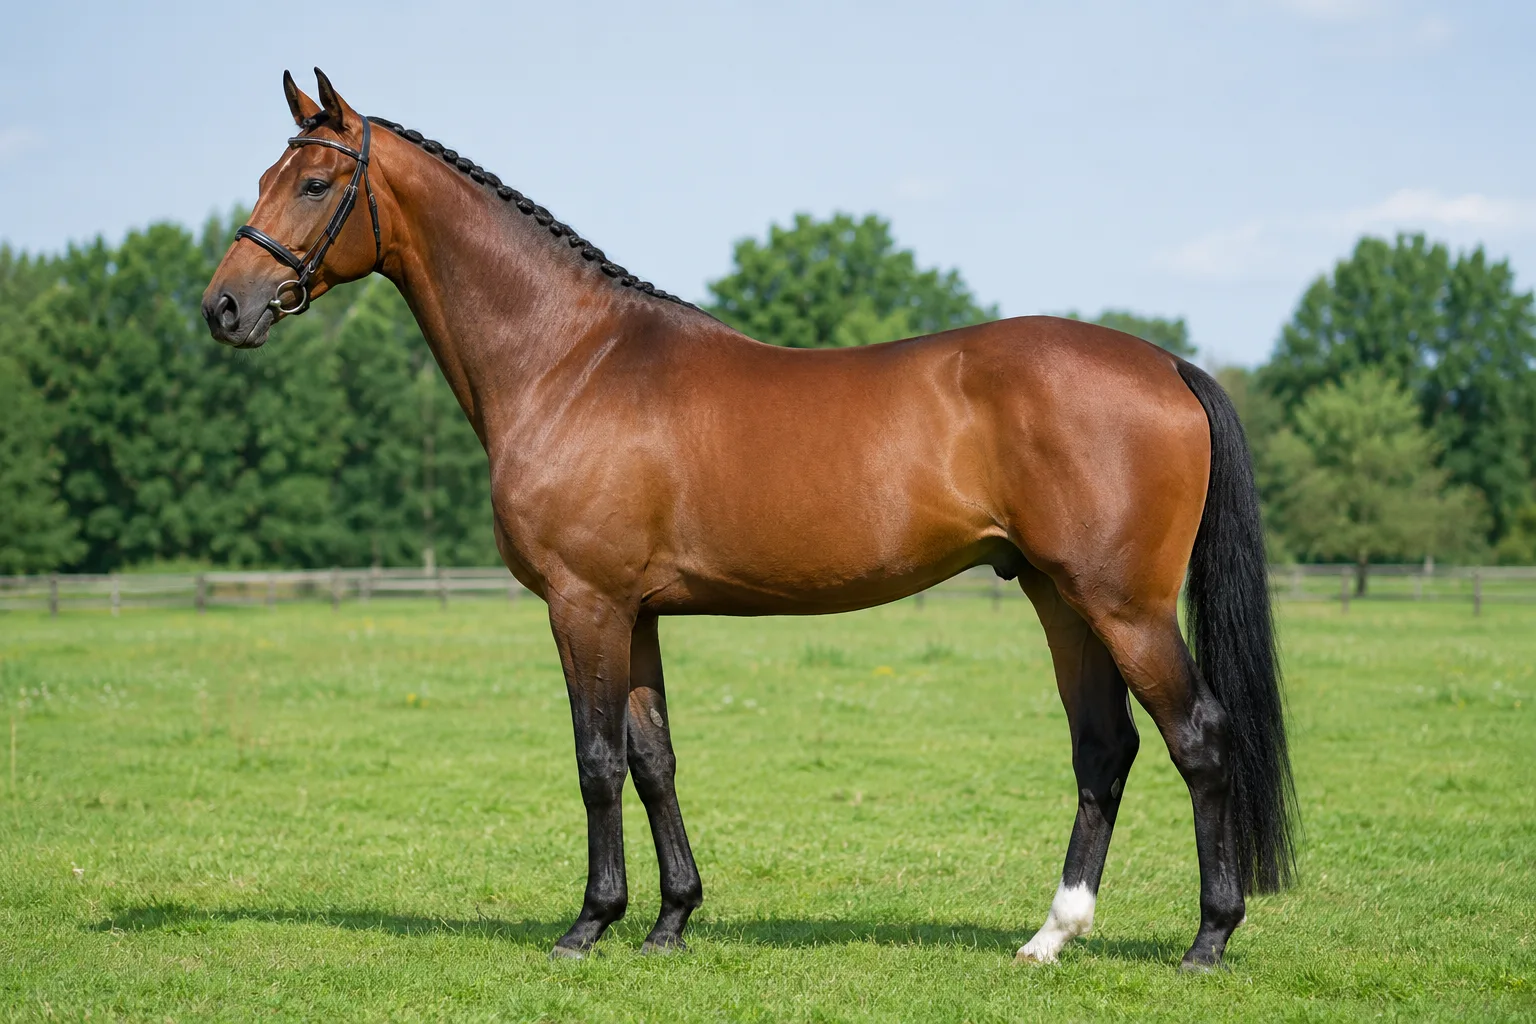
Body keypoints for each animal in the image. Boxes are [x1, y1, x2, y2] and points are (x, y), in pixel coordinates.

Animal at [203, 69, 1295, 971]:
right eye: (265, 173)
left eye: (312, 184)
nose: (224, 308)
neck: (570, 361)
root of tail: (1166, 363)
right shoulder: (636, 612)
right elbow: (654, 759)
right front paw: (671, 920)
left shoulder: (582, 604)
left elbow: (596, 761)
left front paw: (588, 925)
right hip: (1060, 598)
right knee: (1103, 750)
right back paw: (1050, 936)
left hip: (1124, 606)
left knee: (1198, 737)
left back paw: (1209, 939)